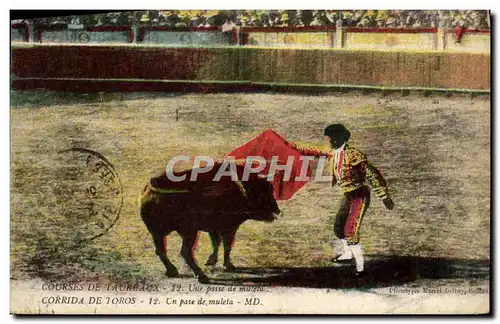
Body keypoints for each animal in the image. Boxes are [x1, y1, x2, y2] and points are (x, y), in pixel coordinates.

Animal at [140, 163, 282, 282]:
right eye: (262, 194)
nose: (277, 210)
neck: (241, 189)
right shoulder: (229, 228)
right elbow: (227, 246)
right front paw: (229, 266)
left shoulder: (213, 229)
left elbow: (216, 243)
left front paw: (211, 261)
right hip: (189, 232)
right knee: (185, 252)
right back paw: (202, 276)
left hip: (158, 233)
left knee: (161, 250)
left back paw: (172, 271)